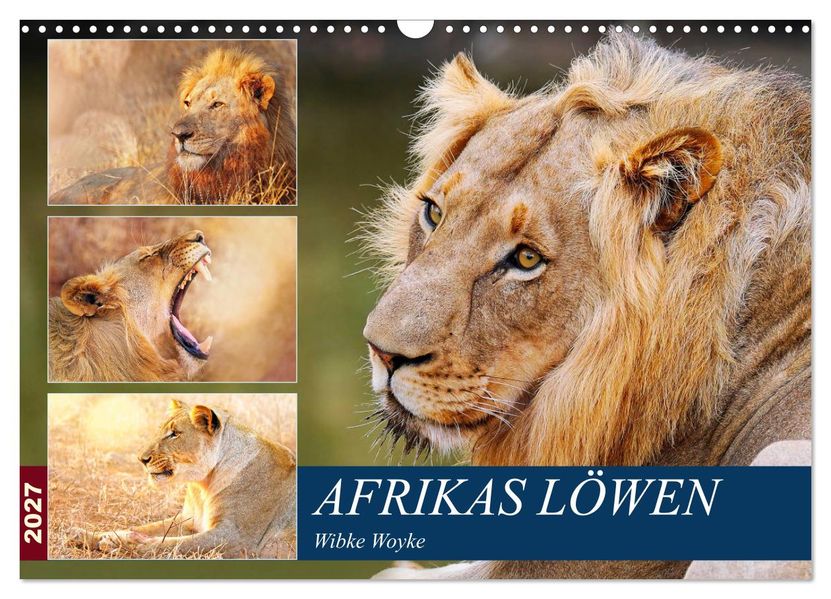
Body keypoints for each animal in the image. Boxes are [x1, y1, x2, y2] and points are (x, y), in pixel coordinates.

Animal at [69, 399, 297, 558]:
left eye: (174, 434)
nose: (141, 459)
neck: (203, 485)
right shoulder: (189, 519)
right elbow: (144, 528)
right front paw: (88, 535)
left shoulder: (238, 538)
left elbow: (178, 544)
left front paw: (125, 545)